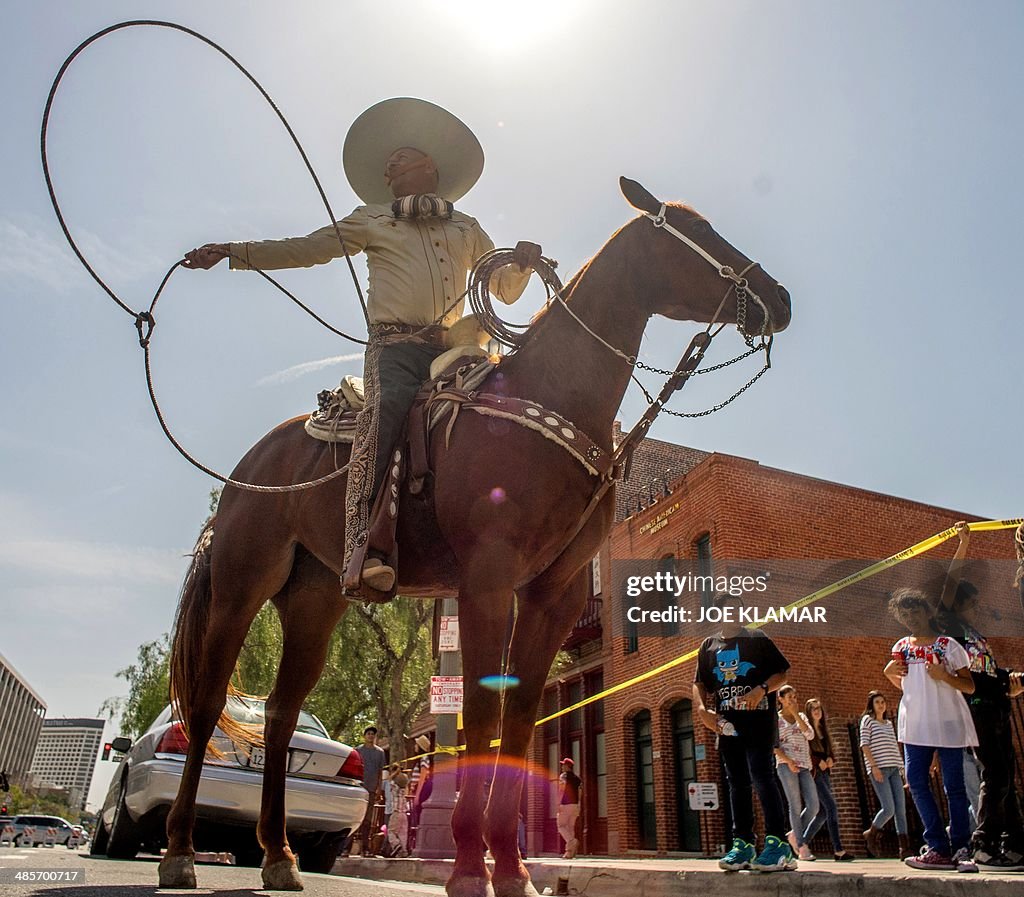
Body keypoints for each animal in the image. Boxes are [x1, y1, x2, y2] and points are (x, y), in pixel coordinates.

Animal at [155, 179, 790, 892]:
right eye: (697, 232)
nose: (780, 299)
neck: (553, 394)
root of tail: (247, 468)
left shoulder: (554, 594)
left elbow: (518, 719)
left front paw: (510, 868)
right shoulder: (487, 579)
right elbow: (482, 714)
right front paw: (465, 861)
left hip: (314, 599)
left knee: (282, 712)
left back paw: (278, 857)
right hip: (242, 584)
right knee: (207, 703)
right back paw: (180, 851)